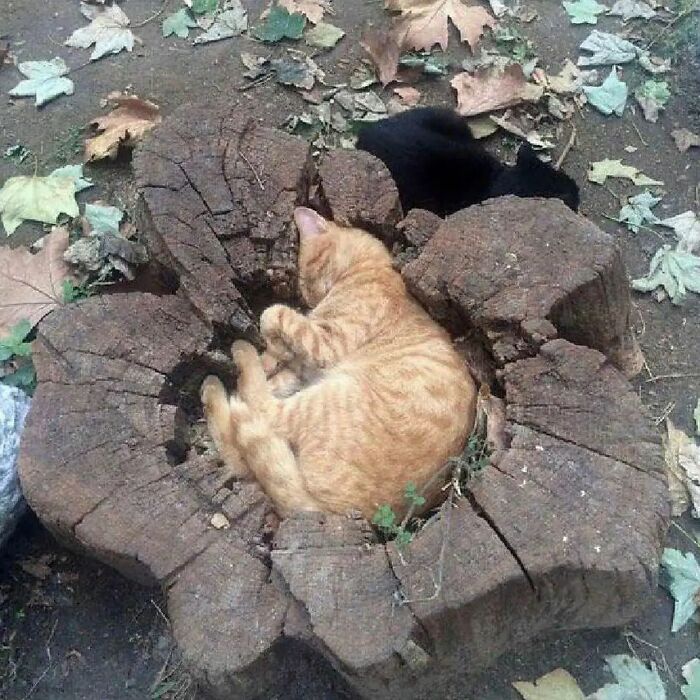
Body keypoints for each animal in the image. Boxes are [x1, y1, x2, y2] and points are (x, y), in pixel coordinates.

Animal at [200, 208, 478, 520]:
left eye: (308, 272)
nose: (312, 298)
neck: (371, 269)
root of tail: (335, 512)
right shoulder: (309, 366)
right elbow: (281, 372)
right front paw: (271, 358)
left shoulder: (325, 343)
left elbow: (274, 314)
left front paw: (270, 345)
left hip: (326, 398)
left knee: (261, 412)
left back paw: (236, 362)